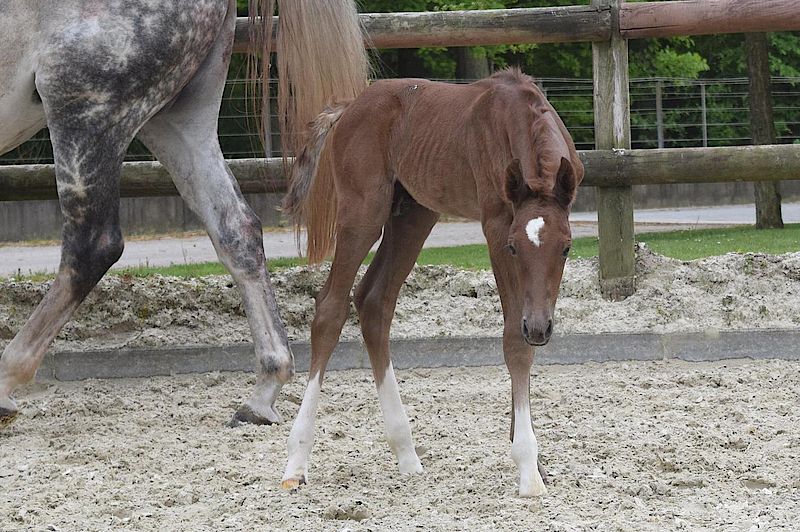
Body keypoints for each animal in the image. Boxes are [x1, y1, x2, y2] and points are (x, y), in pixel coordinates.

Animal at [280, 69, 584, 497]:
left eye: (567, 248)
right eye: (512, 247)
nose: (540, 329)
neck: (519, 118)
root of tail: (350, 106)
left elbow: (521, 337)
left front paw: (535, 463)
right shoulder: (494, 223)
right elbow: (513, 339)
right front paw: (528, 467)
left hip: (413, 214)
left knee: (374, 301)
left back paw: (407, 455)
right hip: (363, 211)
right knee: (330, 309)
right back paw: (296, 461)